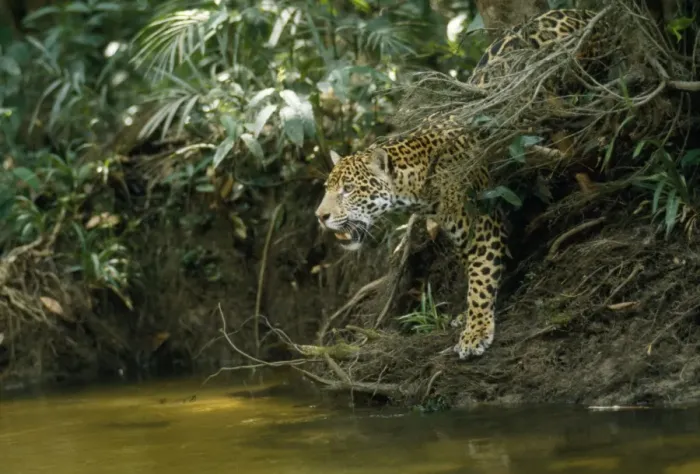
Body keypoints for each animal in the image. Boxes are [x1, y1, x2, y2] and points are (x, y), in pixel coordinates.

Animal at [314, 8, 603, 360]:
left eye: (348, 190)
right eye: (328, 190)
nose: (320, 216)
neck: (419, 183)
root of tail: (578, 11)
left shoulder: (483, 225)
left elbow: (479, 281)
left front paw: (475, 331)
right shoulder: (464, 236)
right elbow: (475, 275)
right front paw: (467, 317)